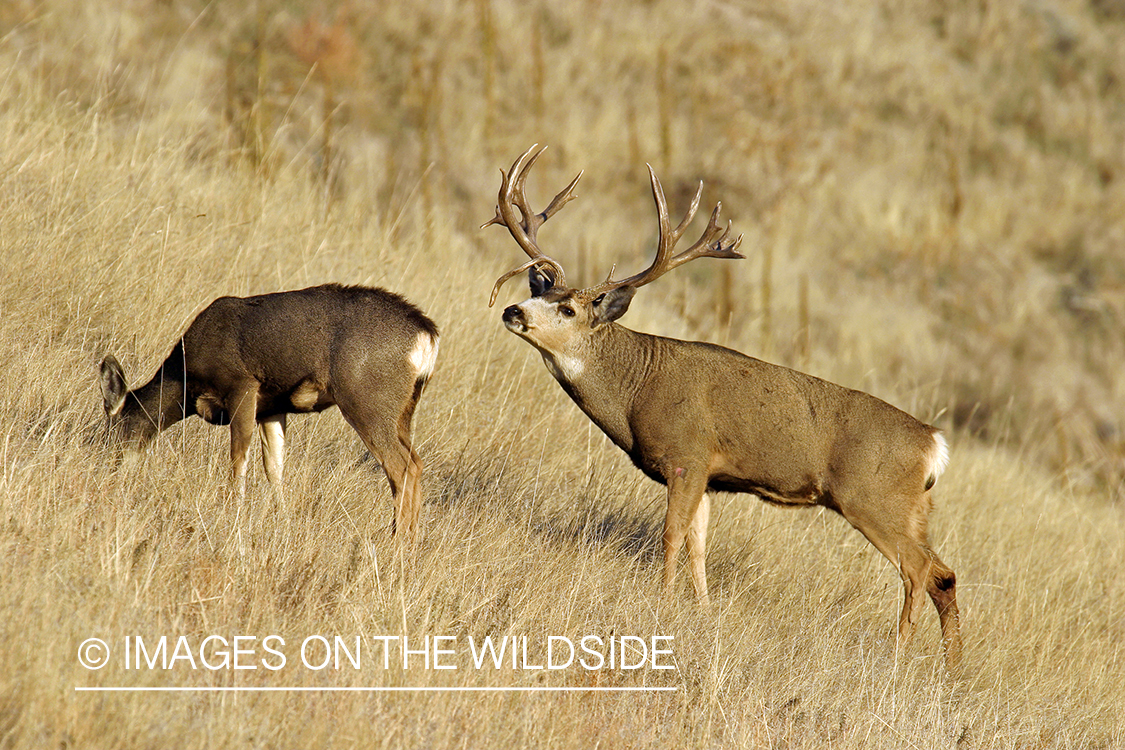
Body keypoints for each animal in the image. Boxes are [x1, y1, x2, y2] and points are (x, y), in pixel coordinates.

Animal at [98, 283, 439, 546]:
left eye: (114, 431)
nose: (110, 472)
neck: (184, 381)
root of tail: (427, 335)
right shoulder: (272, 409)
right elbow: (274, 467)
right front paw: (283, 521)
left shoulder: (242, 385)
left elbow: (238, 459)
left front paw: (234, 514)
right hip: (403, 408)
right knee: (416, 463)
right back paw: (409, 539)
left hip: (366, 399)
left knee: (401, 466)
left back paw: (397, 542)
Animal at [484, 145, 962, 671]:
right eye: (538, 291)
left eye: (568, 309)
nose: (512, 310)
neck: (636, 389)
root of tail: (933, 443)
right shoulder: (708, 475)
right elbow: (698, 545)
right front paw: (702, 611)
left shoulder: (686, 455)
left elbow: (671, 536)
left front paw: (663, 603)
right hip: (915, 508)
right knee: (944, 575)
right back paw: (952, 668)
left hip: (872, 498)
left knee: (918, 568)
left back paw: (898, 653)